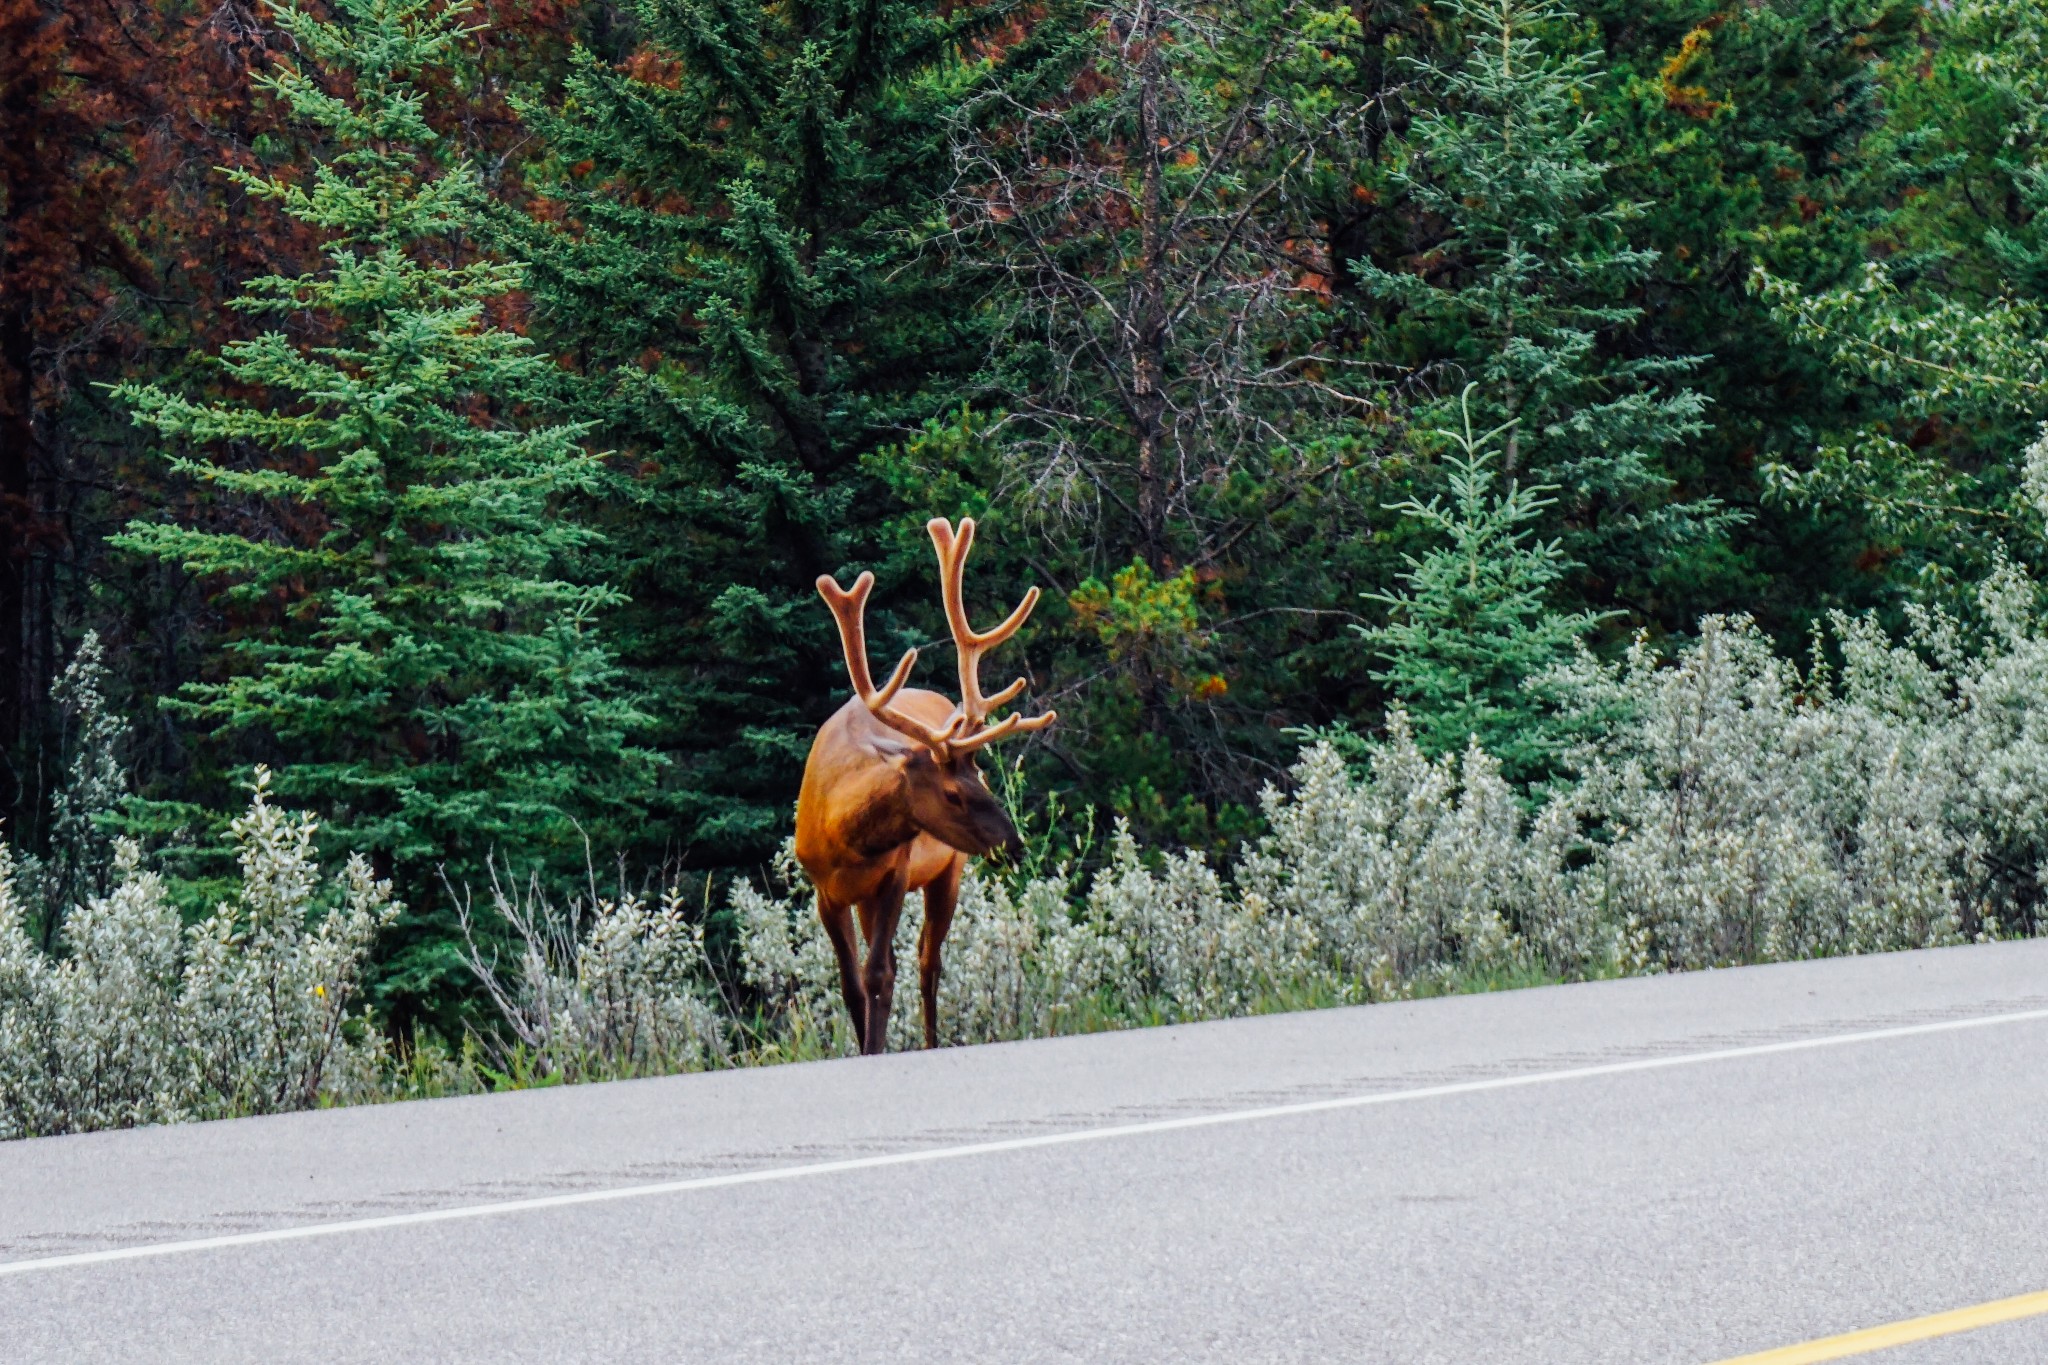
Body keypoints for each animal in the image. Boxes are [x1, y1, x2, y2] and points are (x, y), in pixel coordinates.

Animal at [794, 515, 1056, 1055]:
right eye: (953, 793)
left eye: (982, 778)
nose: (1015, 845)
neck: (844, 836)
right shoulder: (824, 890)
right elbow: (851, 983)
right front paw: (865, 1047)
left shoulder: (895, 872)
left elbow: (879, 974)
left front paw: (875, 1049)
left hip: (947, 871)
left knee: (926, 962)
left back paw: (933, 1040)